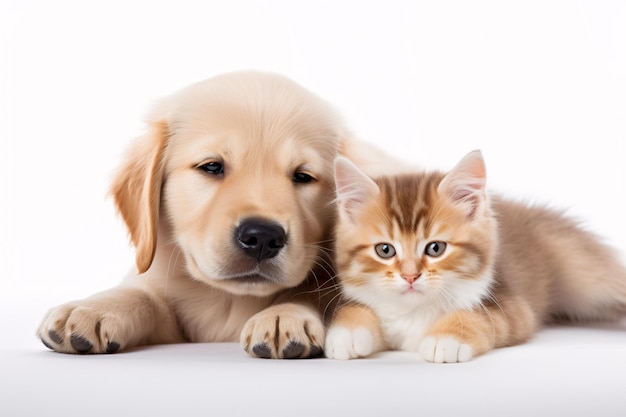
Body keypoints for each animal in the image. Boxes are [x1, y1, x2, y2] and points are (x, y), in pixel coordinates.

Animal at [36, 70, 402, 356]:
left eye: (303, 176)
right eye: (211, 166)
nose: (262, 237)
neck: (228, 299)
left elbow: (311, 290)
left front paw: (285, 314)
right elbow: (142, 294)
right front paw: (91, 308)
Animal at [324, 150, 624, 360]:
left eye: (435, 248)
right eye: (385, 250)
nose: (410, 276)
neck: (414, 311)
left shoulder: (512, 307)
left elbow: (476, 316)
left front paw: (447, 339)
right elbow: (356, 308)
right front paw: (346, 333)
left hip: (584, 267)